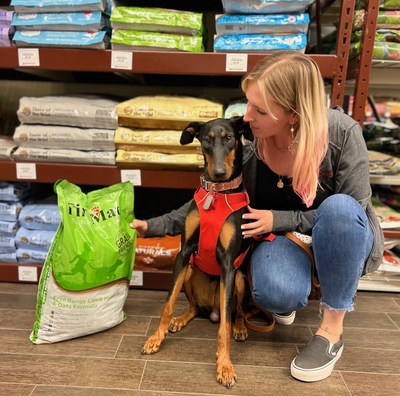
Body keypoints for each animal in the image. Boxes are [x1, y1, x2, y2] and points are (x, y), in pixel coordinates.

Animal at [141, 116, 253, 388]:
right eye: (206, 140)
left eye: (229, 138)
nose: (220, 173)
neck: (216, 194)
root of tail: (211, 310)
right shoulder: (184, 254)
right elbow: (167, 304)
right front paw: (155, 338)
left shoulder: (228, 264)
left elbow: (224, 327)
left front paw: (224, 366)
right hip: (190, 272)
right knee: (194, 308)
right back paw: (180, 320)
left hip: (240, 279)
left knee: (234, 313)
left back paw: (240, 327)